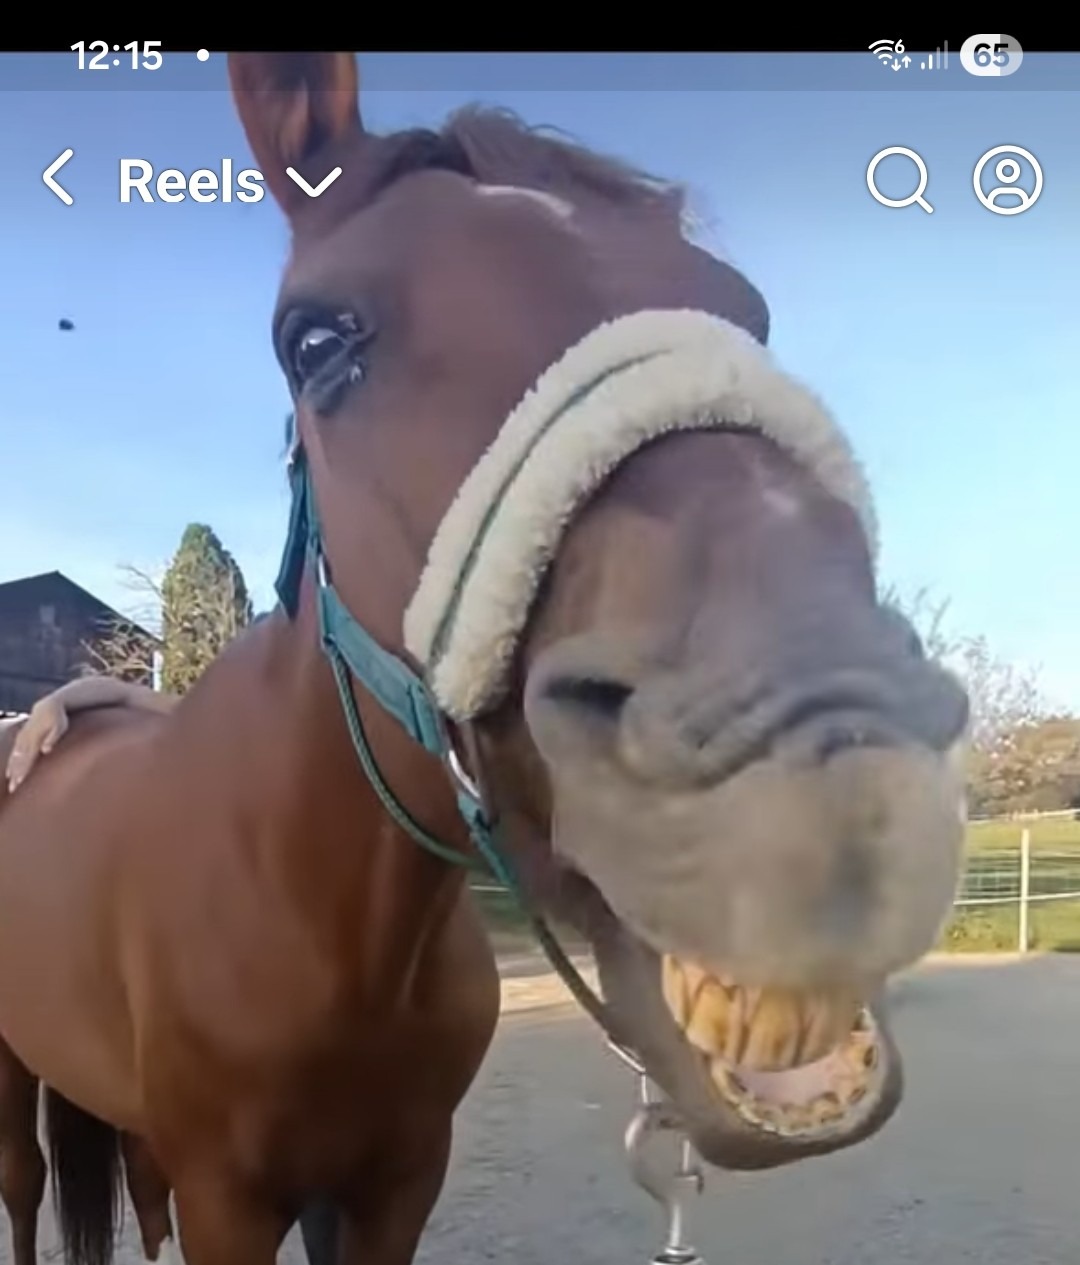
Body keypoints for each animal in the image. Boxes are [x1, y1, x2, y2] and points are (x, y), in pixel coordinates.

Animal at [0, 51, 971, 1265]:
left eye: (746, 311)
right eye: (315, 341)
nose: (829, 760)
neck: (326, 924)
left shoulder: (394, 1179)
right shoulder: (231, 1195)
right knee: (28, 1184)